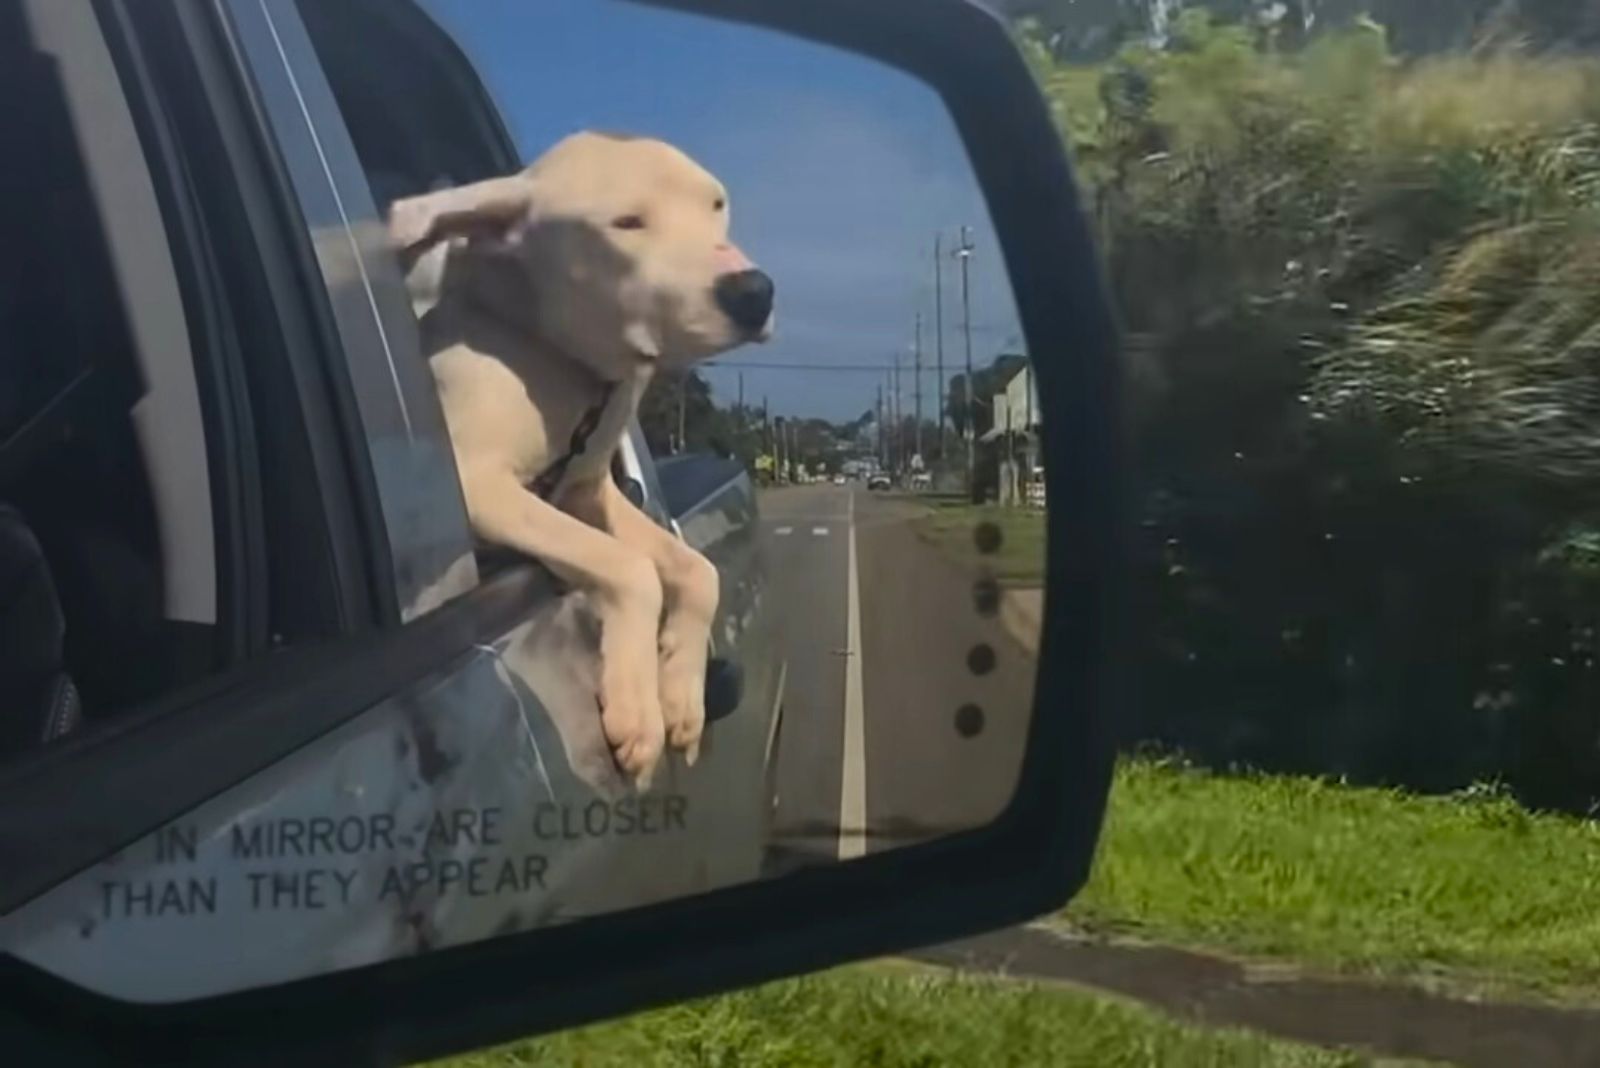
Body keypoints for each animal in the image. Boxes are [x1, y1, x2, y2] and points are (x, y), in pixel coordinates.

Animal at [393, 131, 780, 783]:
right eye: (626, 223)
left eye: (716, 205)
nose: (755, 292)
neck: (553, 353)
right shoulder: (477, 486)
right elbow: (631, 568)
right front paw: (640, 709)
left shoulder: (586, 491)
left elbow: (696, 571)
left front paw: (681, 693)